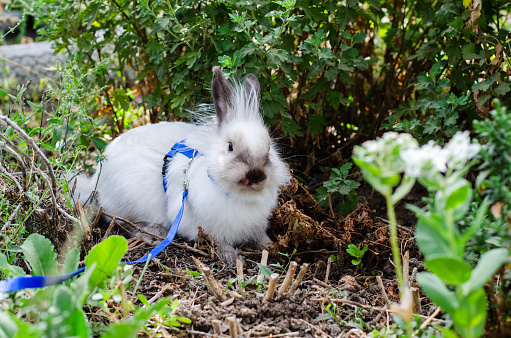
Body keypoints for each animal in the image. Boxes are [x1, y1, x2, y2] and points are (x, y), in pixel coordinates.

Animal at [74, 68, 294, 262]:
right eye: (230, 146)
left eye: (268, 149)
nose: (256, 174)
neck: (238, 196)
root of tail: (95, 181)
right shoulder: (202, 226)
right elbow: (217, 241)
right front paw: (231, 257)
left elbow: (261, 239)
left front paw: (273, 248)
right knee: (120, 221)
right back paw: (153, 232)